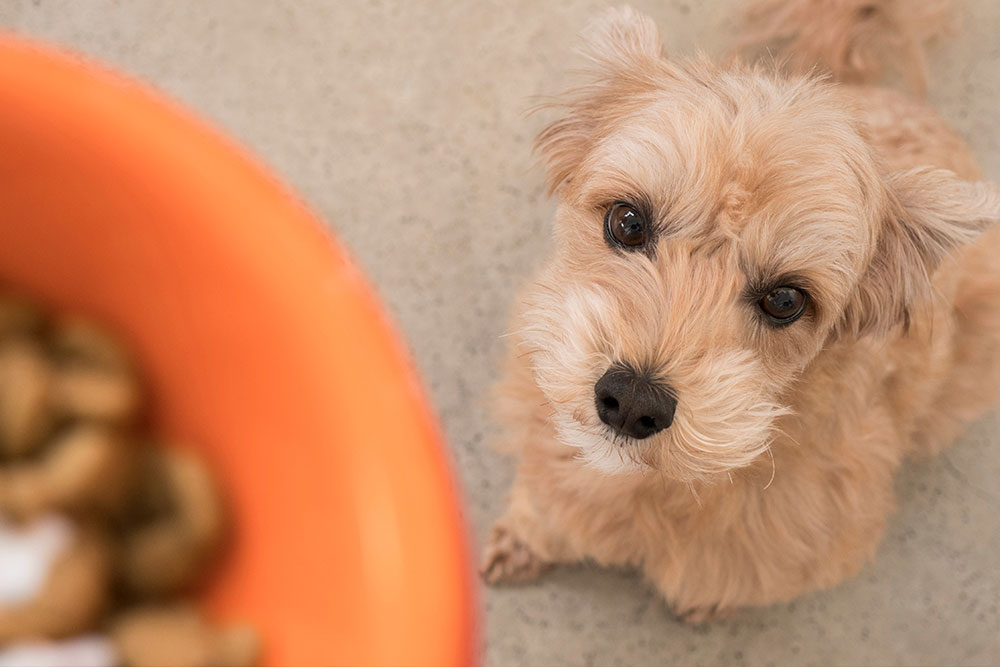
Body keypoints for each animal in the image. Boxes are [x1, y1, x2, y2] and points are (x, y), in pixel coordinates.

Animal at [482, 1, 1000, 628]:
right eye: (627, 222)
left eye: (786, 301)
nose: (631, 402)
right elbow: (546, 506)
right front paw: (526, 537)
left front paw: (706, 601)